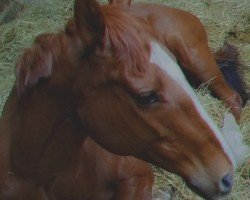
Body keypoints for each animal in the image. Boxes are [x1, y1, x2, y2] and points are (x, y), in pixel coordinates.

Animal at [0, 0, 247, 200]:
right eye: (146, 97)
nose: (226, 176)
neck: (39, 174)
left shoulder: (139, 174)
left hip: (193, 56)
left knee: (233, 98)